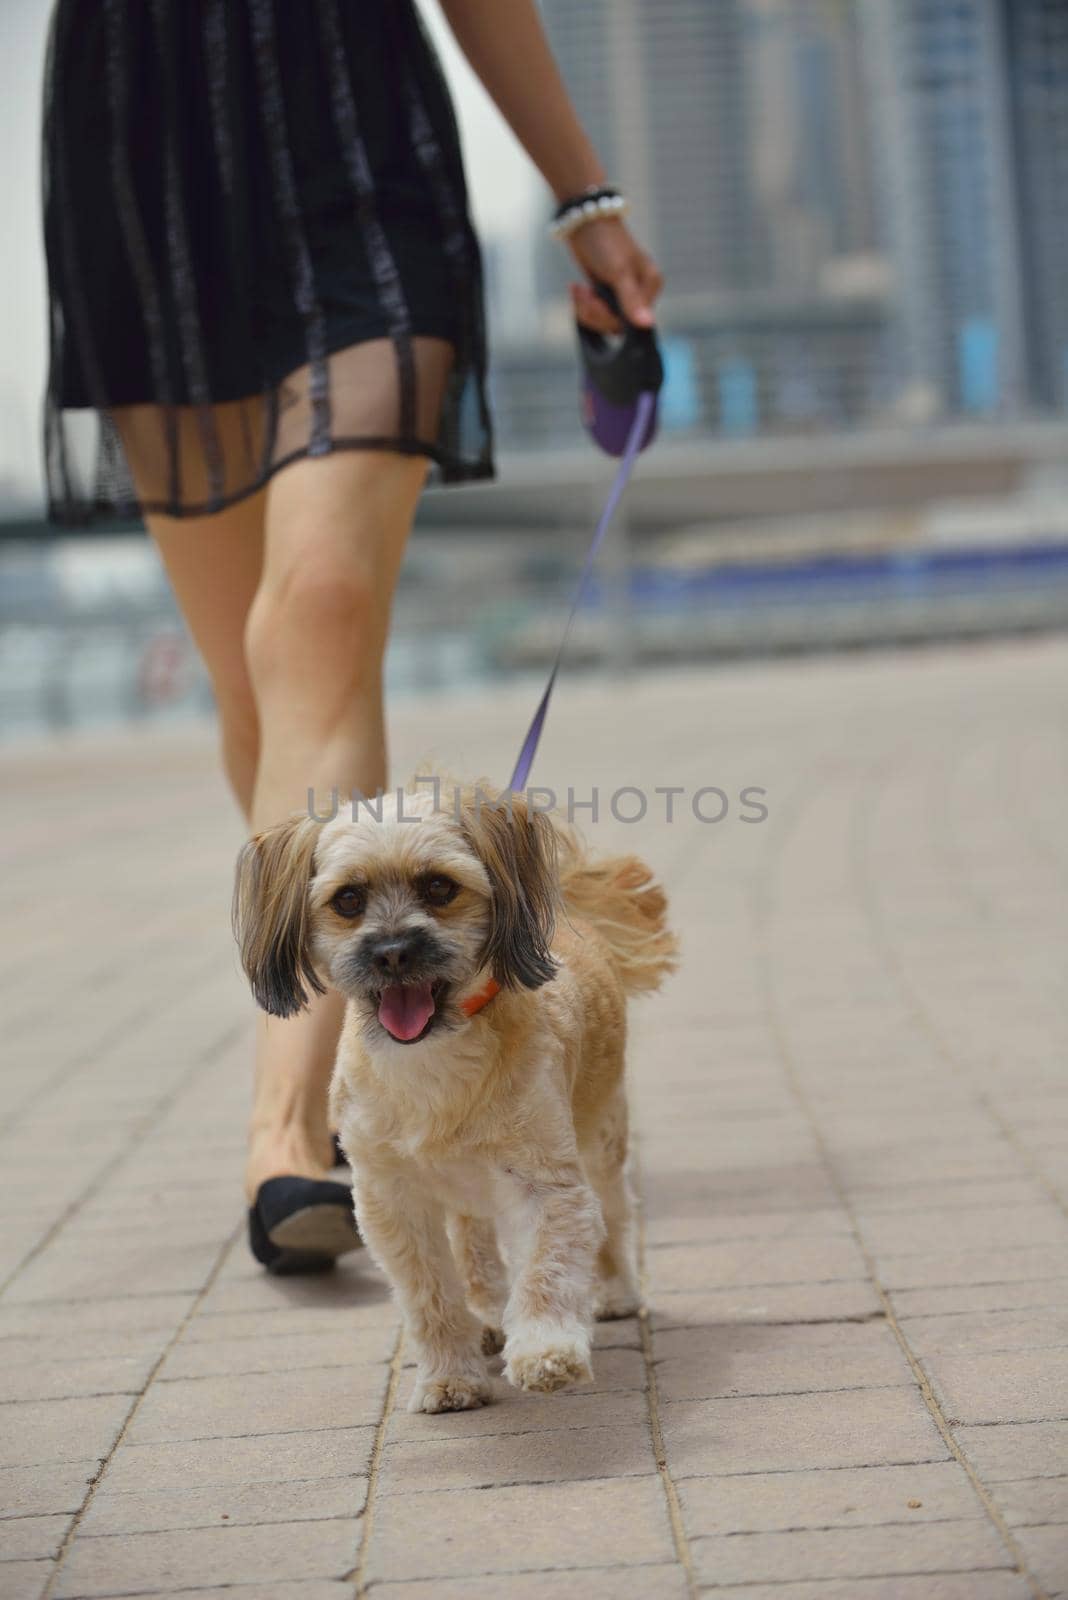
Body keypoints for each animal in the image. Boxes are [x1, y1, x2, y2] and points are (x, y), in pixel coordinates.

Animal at [233, 777, 674, 1414]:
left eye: (439, 886)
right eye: (348, 899)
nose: (393, 951)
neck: (433, 1061)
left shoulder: (548, 1182)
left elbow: (547, 1267)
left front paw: (545, 1350)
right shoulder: (390, 1198)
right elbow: (430, 1294)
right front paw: (450, 1375)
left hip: (600, 1136)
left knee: (613, 1215)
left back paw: (613, 1292)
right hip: (467, 1190)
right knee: (475, 1249)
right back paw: (487, 1317)